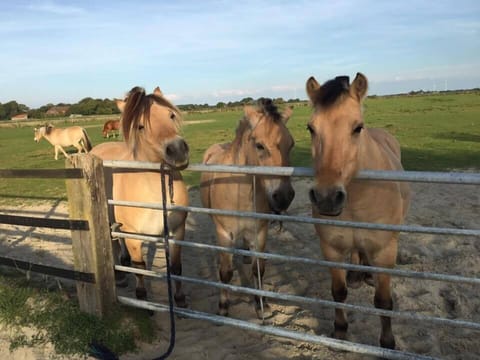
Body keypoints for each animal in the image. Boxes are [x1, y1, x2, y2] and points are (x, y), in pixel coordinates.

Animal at [90, 86, 189, 306]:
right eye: (141, 126)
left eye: (170, 115)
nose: (177, 150)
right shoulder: (134, 236)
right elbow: (140, 266)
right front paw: (142, 295)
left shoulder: (177, 232)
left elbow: (176, 268)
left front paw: (180, 298)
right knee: (113, 244)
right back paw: (119, 276)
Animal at [200, 97, 296, 318]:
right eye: (260, 146)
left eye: (291, 144)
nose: (284, 197)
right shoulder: (224, 233)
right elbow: (225, 272)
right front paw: (223, 307)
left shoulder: (260, 232)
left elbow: (258, 270)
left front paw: (262, 304)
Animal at [306, 73, 410, 348]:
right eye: (311, 128)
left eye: (357, 127)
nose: (327, 197)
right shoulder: (331, 249)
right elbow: (338, 292)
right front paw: (340, 330)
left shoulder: (384, 252)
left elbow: (383, 302)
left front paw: (387, 343)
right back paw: (355, 275)